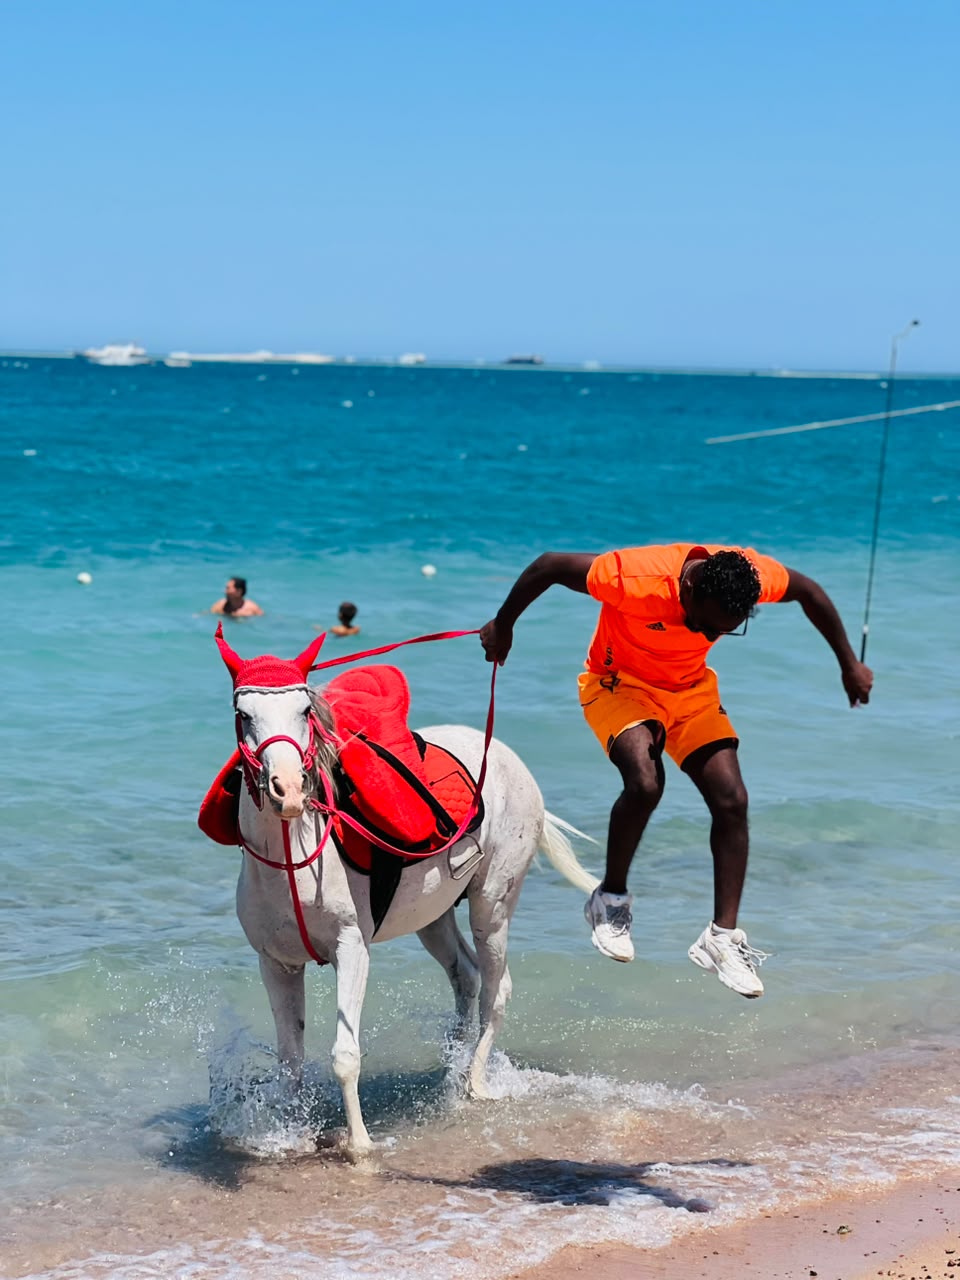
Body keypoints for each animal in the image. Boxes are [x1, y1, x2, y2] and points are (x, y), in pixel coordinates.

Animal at [208, 627, 598, 1159]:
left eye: (305, 711)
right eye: (243, 714)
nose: (287, 790)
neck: (293, 858)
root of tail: (507, 758)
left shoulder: (352, 950)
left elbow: (345, 1055)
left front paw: (359, 1145)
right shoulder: (277, 963)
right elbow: (290, 1061)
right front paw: (291, 1136)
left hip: (491, 906)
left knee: (496, 990)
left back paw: (476, 1084)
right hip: (432, 917)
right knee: (466, 978)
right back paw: (450, 1079)